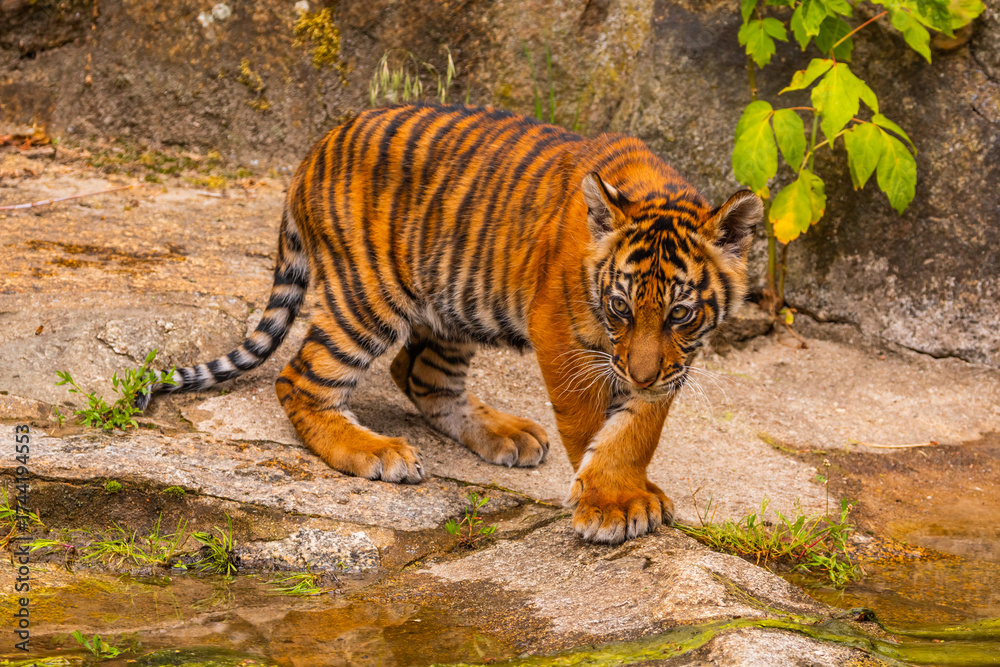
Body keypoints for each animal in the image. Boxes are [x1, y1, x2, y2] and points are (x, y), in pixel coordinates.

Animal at [138, 103, 762, 544]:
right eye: (620, 308)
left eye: (679, 313)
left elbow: (636, 431)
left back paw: (507, 434)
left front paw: (626, 488)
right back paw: (375, 452)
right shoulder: (566, 339)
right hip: (370, 297)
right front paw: (610, 504)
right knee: (300, 380)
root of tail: (318, 145)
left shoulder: (672, 363)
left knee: (420, 376)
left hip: (453, 304)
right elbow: (592, 425)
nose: (640, 376)